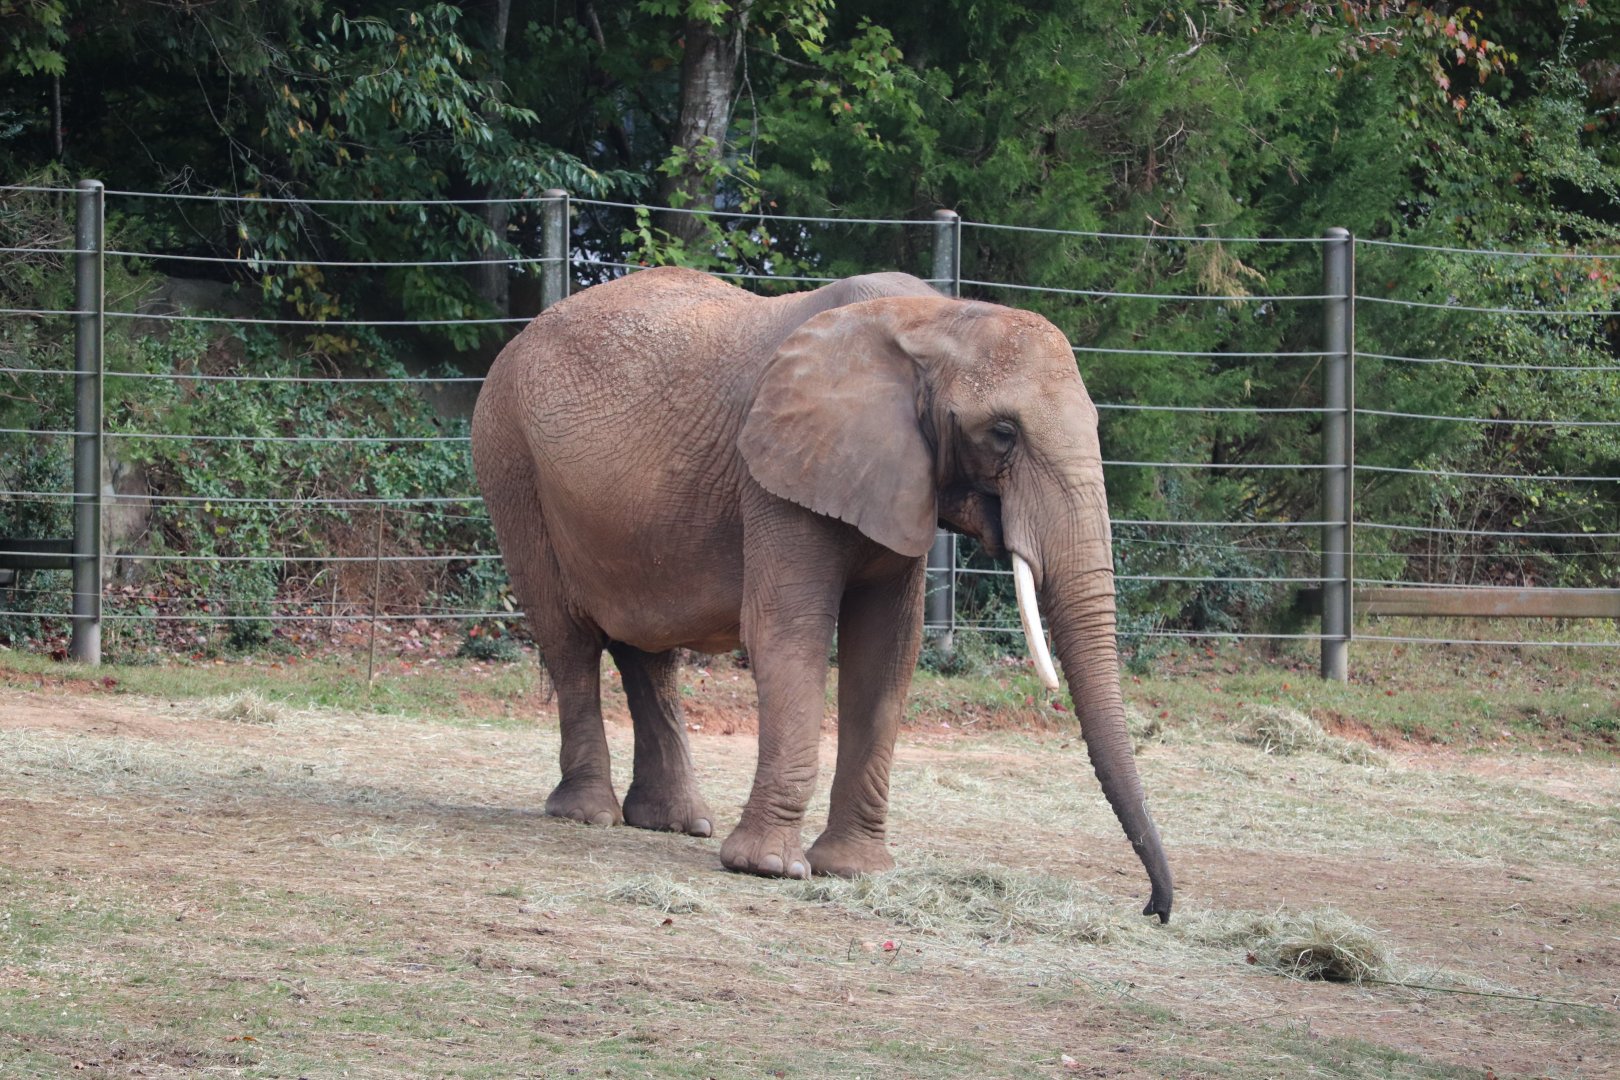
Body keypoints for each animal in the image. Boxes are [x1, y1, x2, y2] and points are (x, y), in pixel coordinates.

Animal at [471, 266, 1173, 922]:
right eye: (1003, 432)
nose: (1152, 908)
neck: (936, 319)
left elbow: (886, 652)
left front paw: (854, 871)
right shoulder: (779, 472)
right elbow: (791, 633)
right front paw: (769, 868)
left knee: (649, 650)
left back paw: (676, 822)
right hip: (510, 464)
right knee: (569, 640)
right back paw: (587, 814)